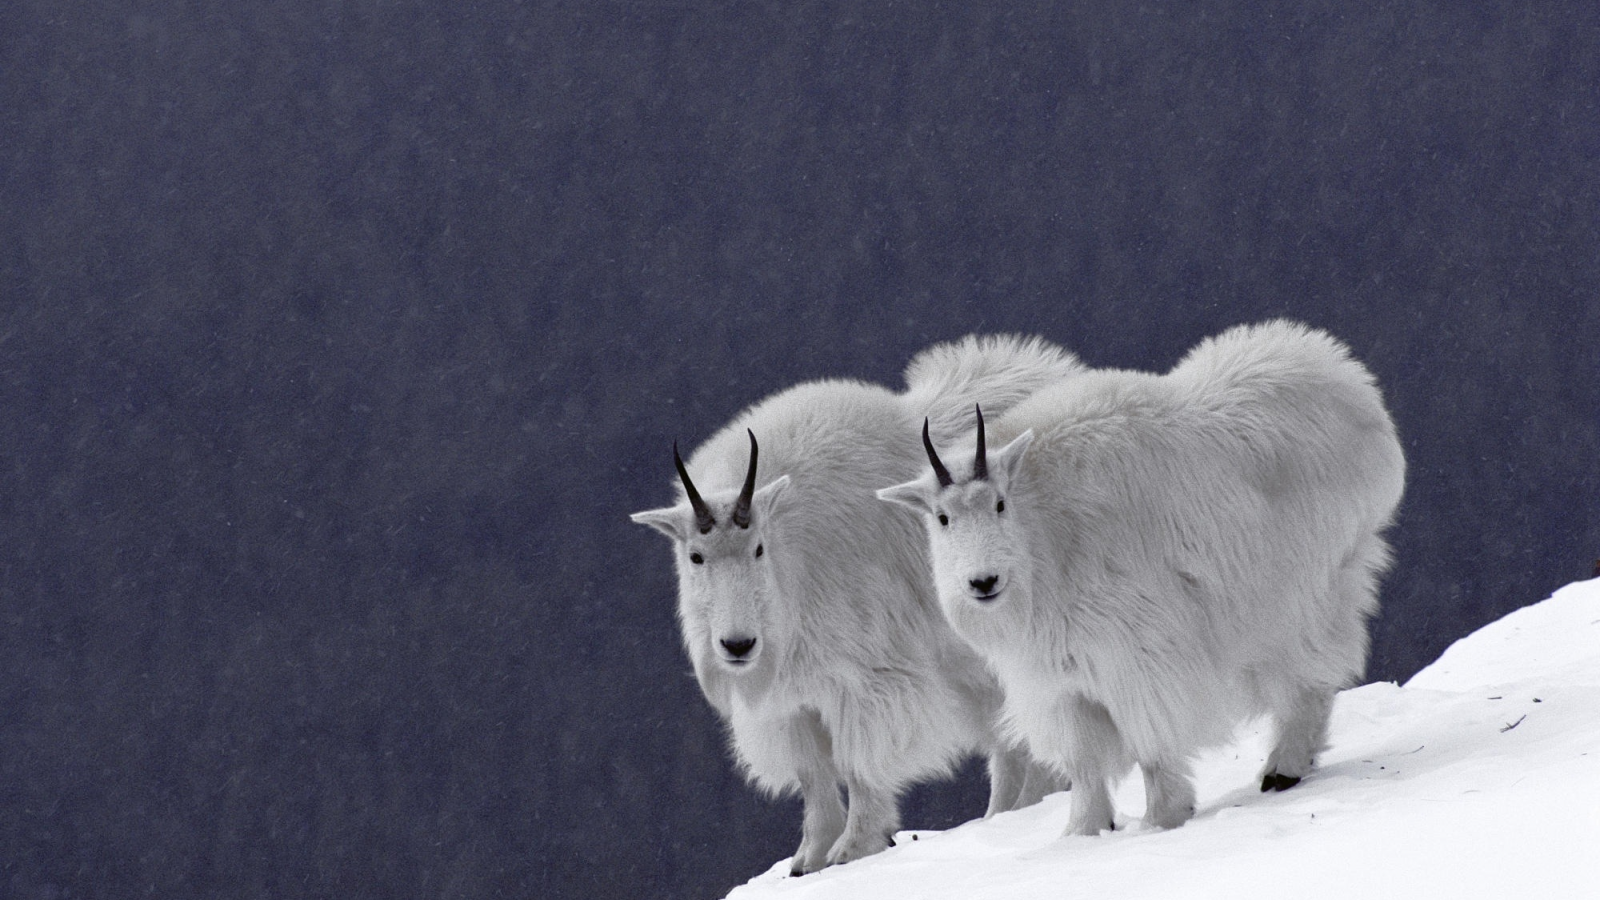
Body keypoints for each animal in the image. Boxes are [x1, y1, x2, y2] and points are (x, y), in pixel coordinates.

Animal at [630, 334, 1081, 871]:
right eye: (695, 556)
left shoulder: (867, 677)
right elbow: (812, 773)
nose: (738, 646)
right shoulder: (791, 700)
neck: (793, 564)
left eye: (758, 548)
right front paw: (808, 859)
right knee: (1007, 736)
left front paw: (854, 847)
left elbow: (859, 758)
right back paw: (1003, 814)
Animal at [883, 320, 1408, 832]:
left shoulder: (1137, 657)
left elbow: (1152, 743)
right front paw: (1083, 832)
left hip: (1311, 589)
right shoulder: (1060, 682)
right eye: (942, 519)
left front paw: (1163, 819)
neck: (1046, 536)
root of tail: (1347, 380)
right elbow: (1084, 765)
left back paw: (1284, 768)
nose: (983, 582)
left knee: (1311, 674)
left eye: (999, 504)